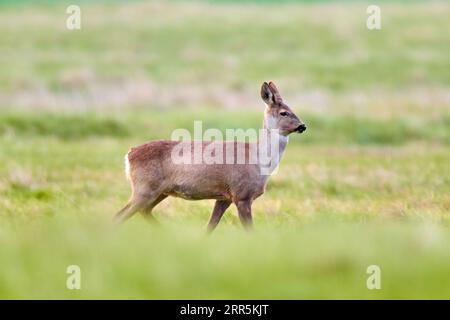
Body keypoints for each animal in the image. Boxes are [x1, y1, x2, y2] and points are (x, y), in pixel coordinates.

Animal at [114, 82, 308, 232]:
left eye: (292, 109)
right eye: (283, 112)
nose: (302, 126)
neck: (259, 161)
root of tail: (129, 154)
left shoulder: (224, 197)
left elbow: (210, 226)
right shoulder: (242, 194)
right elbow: (249, 230)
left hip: (159, 191)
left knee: (143, 211)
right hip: (144, 187)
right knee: (120, 215)